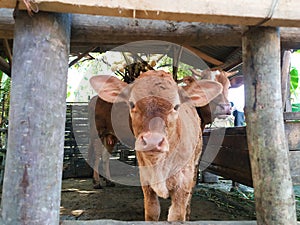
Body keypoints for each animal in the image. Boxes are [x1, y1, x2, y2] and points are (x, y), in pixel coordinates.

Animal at [89, 71, 223, 221]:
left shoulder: (184, 181)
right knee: (97, 155)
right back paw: (97, 182)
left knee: (105, 156)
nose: (152, 140)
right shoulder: (145, 180)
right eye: (132, 104)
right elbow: (152, 212)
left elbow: (177, 214)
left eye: (176, 106)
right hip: (98, 132)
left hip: (110, 136)